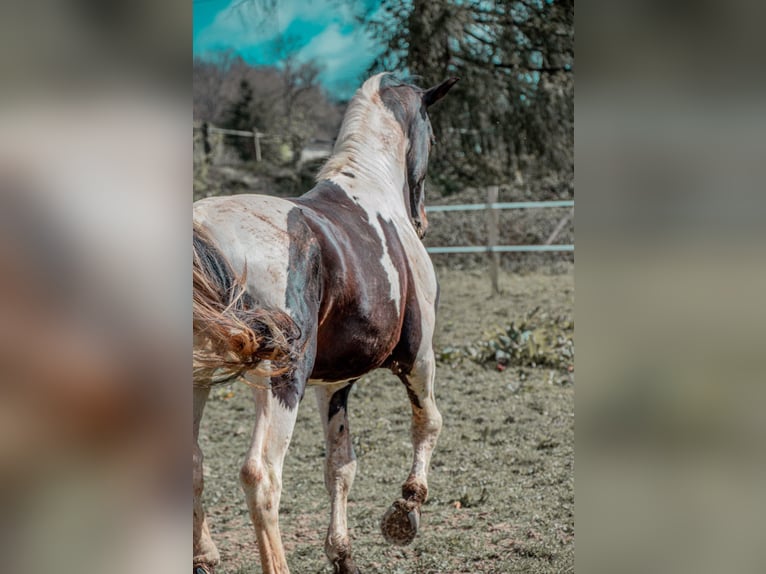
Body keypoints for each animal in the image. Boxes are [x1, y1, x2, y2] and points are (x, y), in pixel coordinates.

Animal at [195, 74, 460, 572]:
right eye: (433, 137)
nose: (423, 220)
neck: (369, 191)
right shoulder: (418, 357)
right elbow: (429, 422)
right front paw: (405, 510)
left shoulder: (331, 383)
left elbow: (340, 466)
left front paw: (342, 554)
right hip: (281, 380)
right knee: (261, 474)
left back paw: (204, 555)